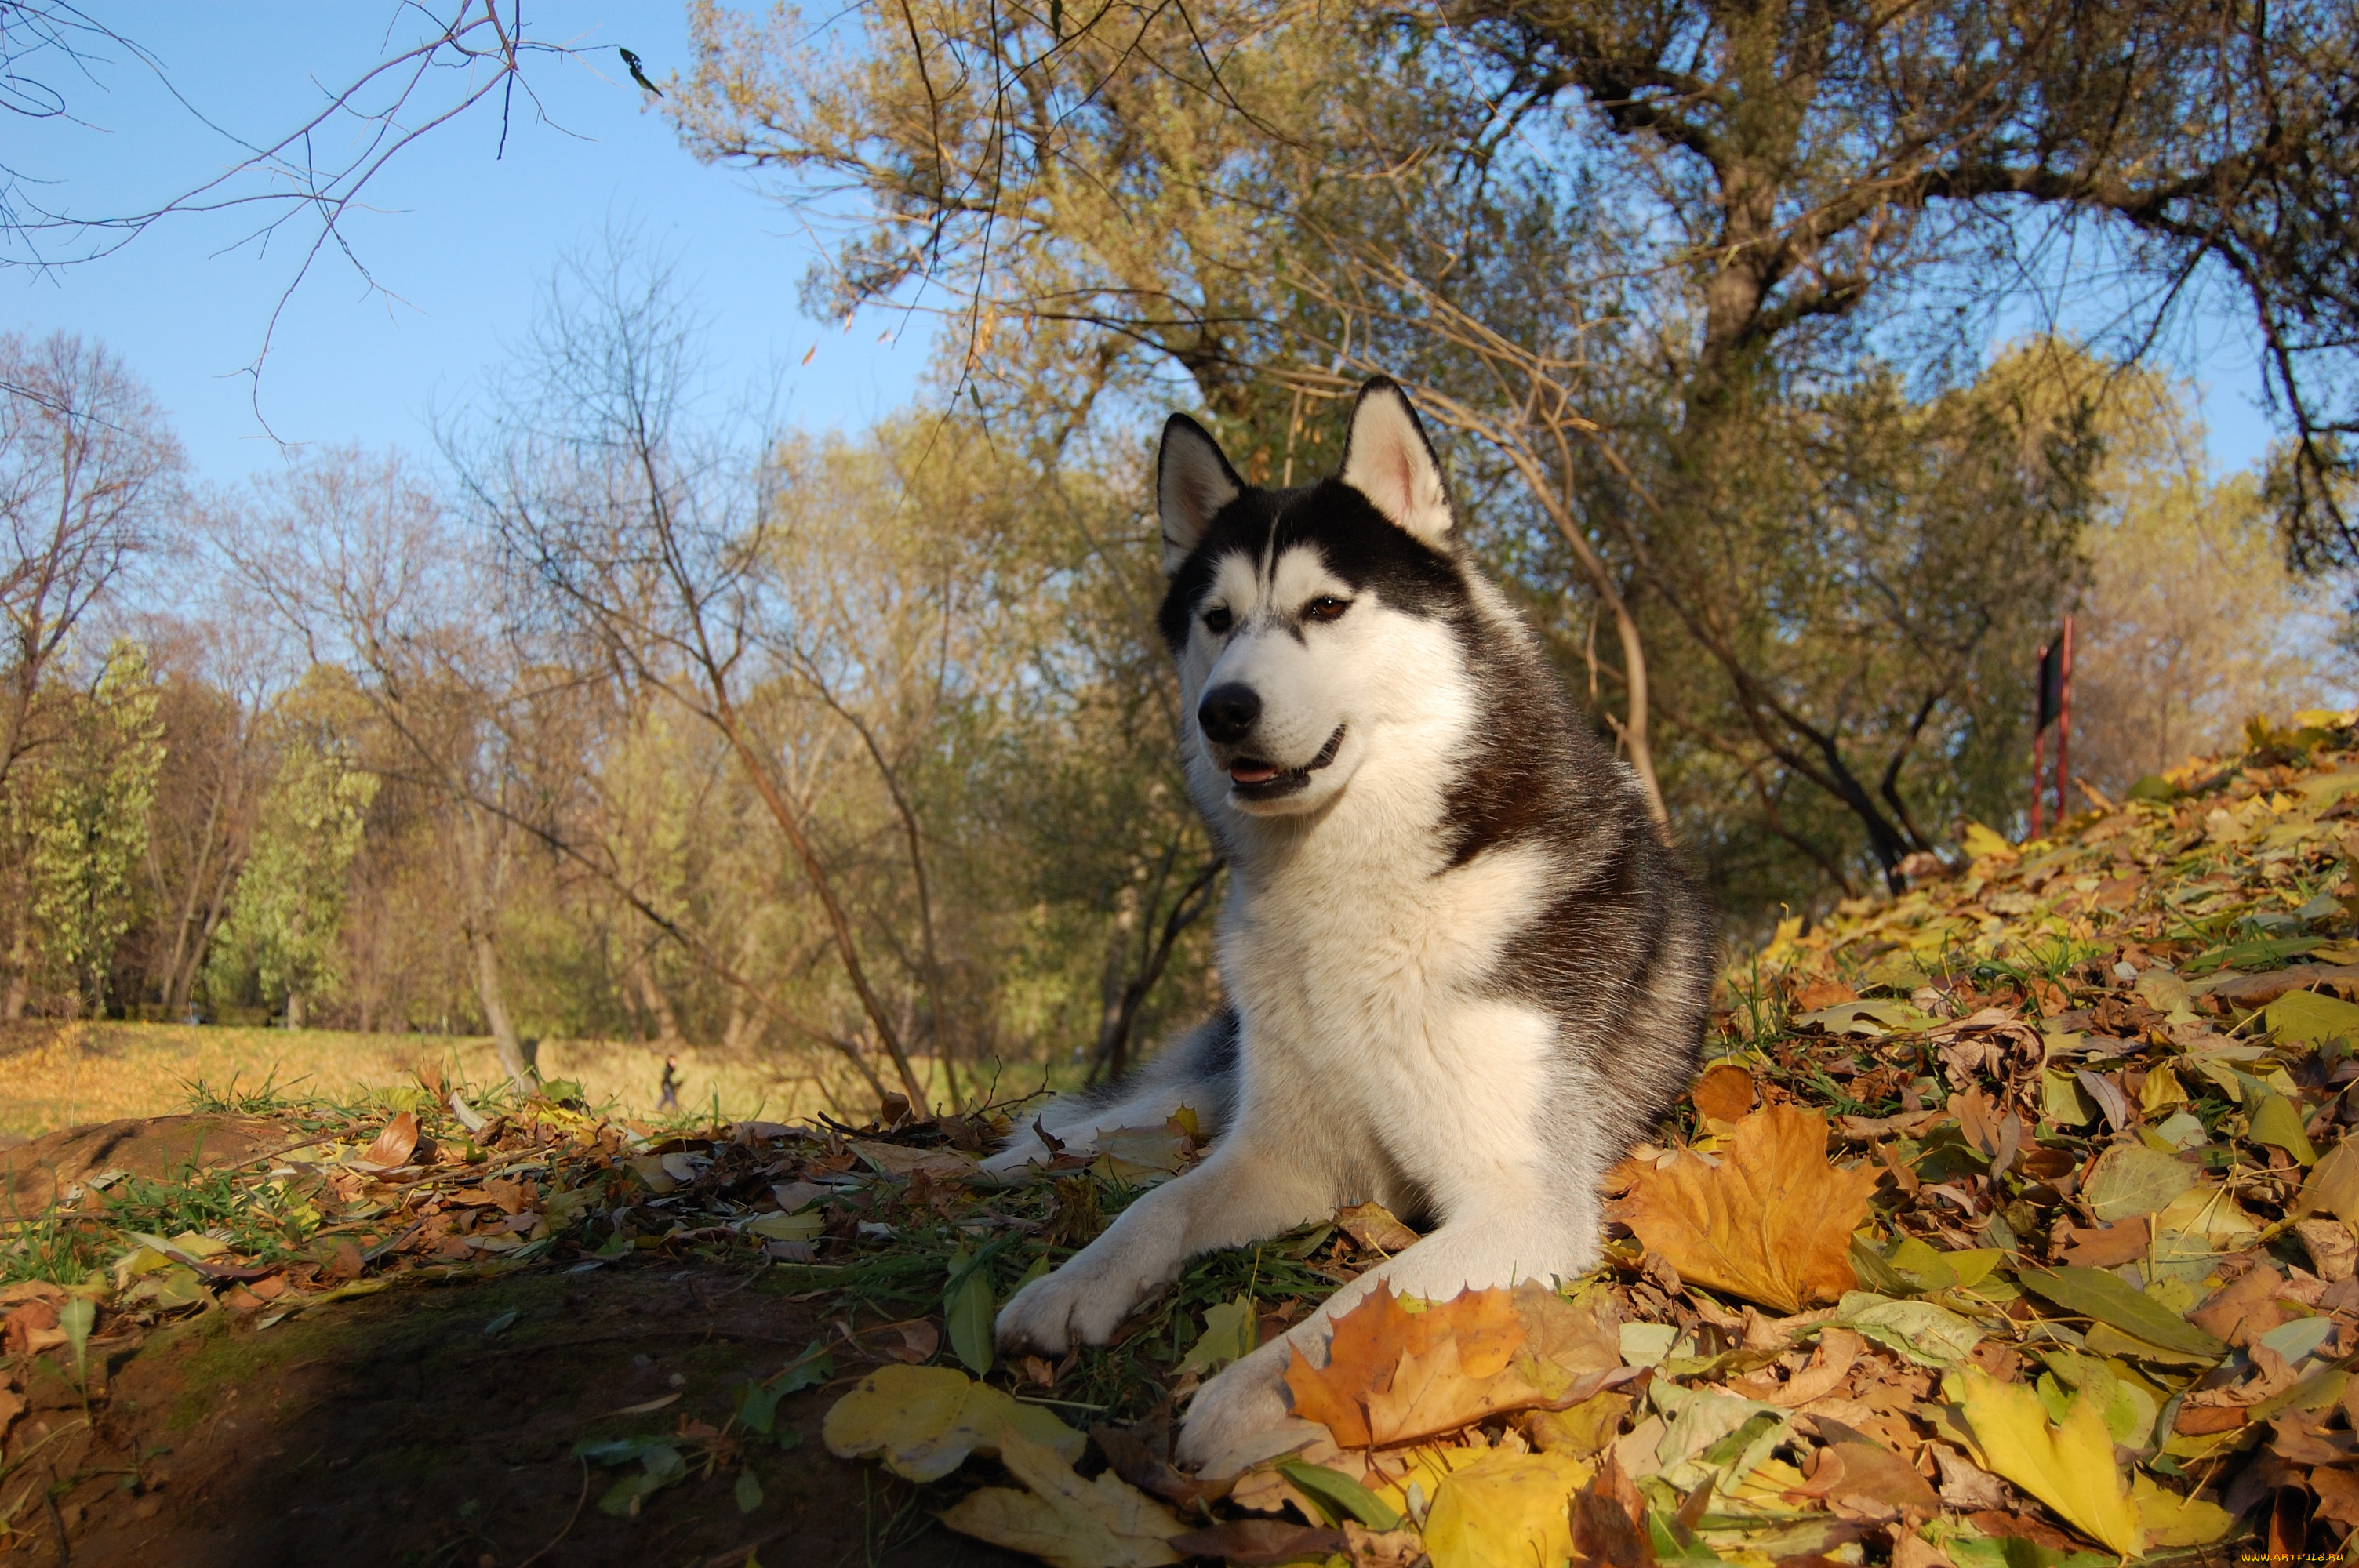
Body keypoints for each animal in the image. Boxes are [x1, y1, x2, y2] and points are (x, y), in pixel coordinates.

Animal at [981, 379, 1717, 1471]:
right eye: (1216, 619)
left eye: (1325, 606)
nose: (1222, 710)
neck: (1357, 892)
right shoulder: (1284, 1150)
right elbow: (1160, 1208)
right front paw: (1073, 1282)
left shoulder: (1520, 1202)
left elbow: (1356, 1304)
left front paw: (1255, 1393)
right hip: (1216, 1073)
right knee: (1139, 1121)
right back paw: (1024, 1154)